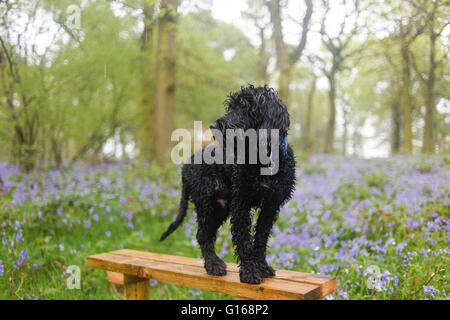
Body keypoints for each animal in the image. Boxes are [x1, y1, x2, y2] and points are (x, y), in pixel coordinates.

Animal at [161, 85, 296, 284]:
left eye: (245, 106)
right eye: (230, 107)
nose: (213, 126)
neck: (264, 160)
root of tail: (185, 166)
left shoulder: (271, 205)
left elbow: (261, 238)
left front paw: (262, 267)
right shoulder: (242, 202)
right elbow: (244, 240)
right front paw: (250, 272)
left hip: (219, 208)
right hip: (206, 204)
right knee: (202, 235)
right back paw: (213, 265)